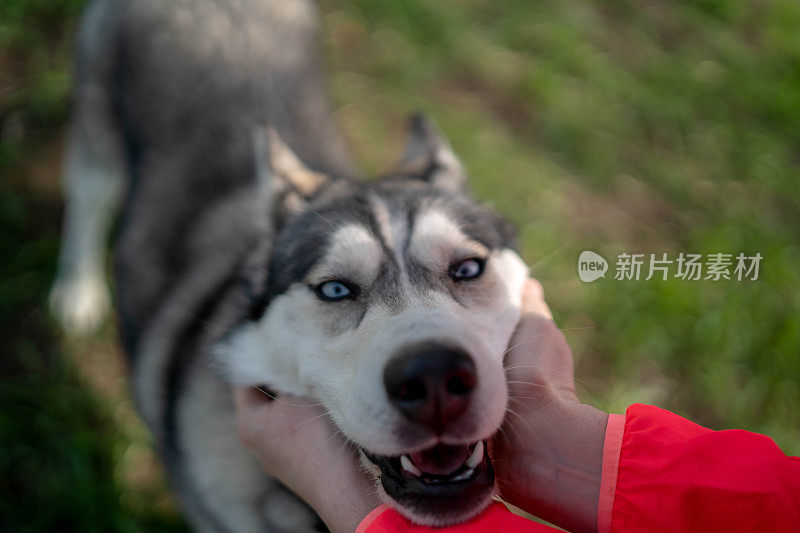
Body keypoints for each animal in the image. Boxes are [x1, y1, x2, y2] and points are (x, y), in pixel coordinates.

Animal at [53, 0, 532, 524]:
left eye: (468, 268)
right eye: (335, 289)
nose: (434, 376)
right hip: (97, 131)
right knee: (88, 197)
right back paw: (77, 291)